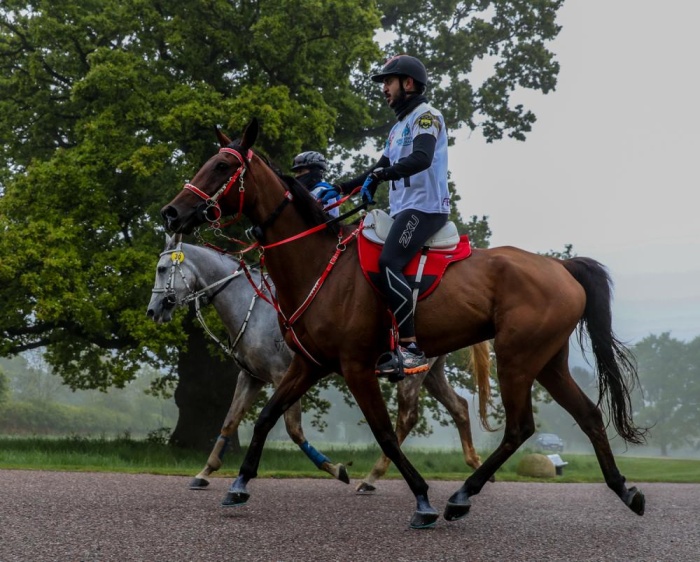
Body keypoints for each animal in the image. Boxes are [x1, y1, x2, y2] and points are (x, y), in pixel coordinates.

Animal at [147, 234, 486, 488]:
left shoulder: (282, 374)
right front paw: (205, 471)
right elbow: (230, 420)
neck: (252, 308)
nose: (153, 311)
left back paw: (372, 477)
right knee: (458, 406)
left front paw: (336, 469)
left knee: (406, 418)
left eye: (162, 268)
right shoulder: (252, 377)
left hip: (412, 375)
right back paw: (474, 462)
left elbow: (293, 429)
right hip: (432, 372)